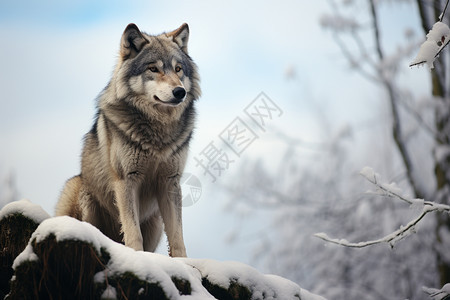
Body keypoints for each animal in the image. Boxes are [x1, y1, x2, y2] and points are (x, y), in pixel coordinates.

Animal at [54, 22, 200, 258]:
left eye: (178, 69)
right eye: (153, 69)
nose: (180, 92)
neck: (158, 130)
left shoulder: (170, 182)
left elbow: (177, 236)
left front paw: (184, 263)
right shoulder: (126, 180)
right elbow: (132, 231)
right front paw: (137, 257)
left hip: (155, 222)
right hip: (79, 191)